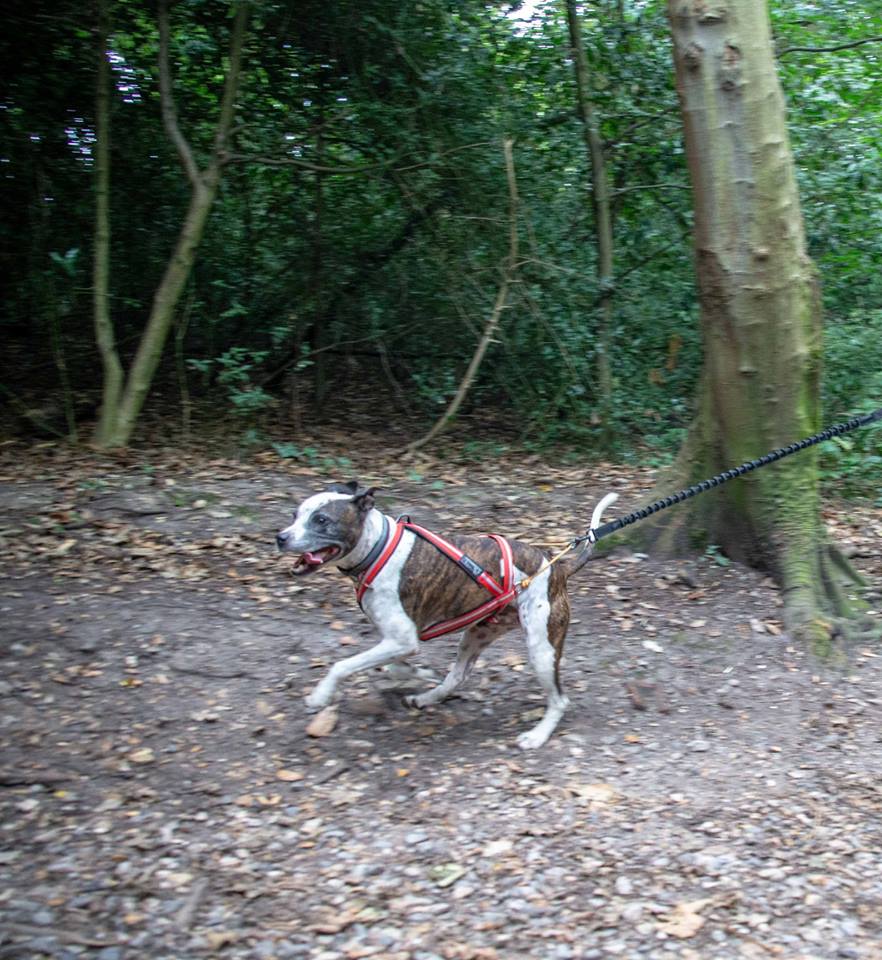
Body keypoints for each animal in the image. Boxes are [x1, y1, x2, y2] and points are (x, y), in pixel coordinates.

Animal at [278, 484, 616, 748]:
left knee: (559, 699)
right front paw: (418, 674)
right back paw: (427, 697)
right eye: (294, 515)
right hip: (476, 634)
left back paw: (537, 736)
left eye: (321, 520)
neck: (378, 547)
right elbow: (395, 668)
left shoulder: (401, 639)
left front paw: (320, 696)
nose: (280, 537)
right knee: (457, 676)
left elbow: (342, 665)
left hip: (541, 649)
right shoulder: (399, 641)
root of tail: (557, 566)